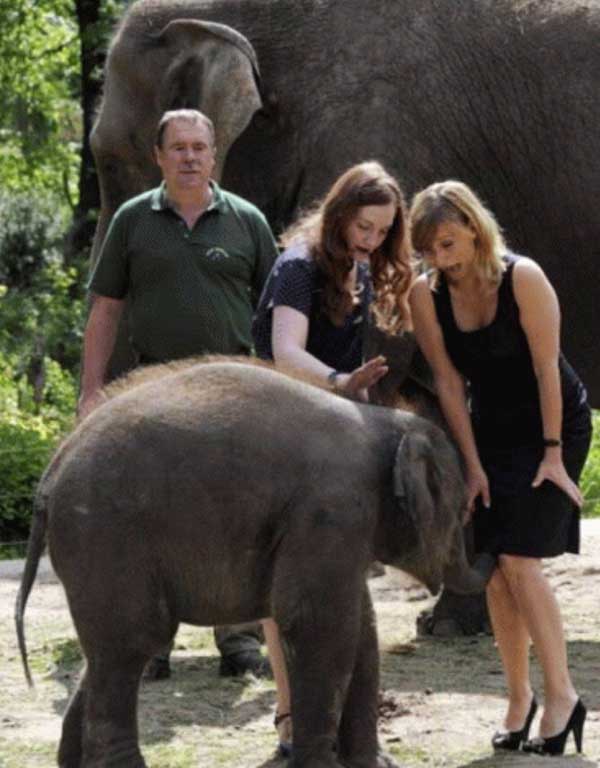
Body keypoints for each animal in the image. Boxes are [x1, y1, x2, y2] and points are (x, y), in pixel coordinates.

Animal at [16, 359, 487, 768]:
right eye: (462, 512)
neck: (384, 421)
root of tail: (50, 474)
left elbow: (362, 630)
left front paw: (371, 765)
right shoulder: (331, 511)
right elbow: (317, 623)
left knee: (103, 653)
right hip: (105, 536)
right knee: (132, 643)